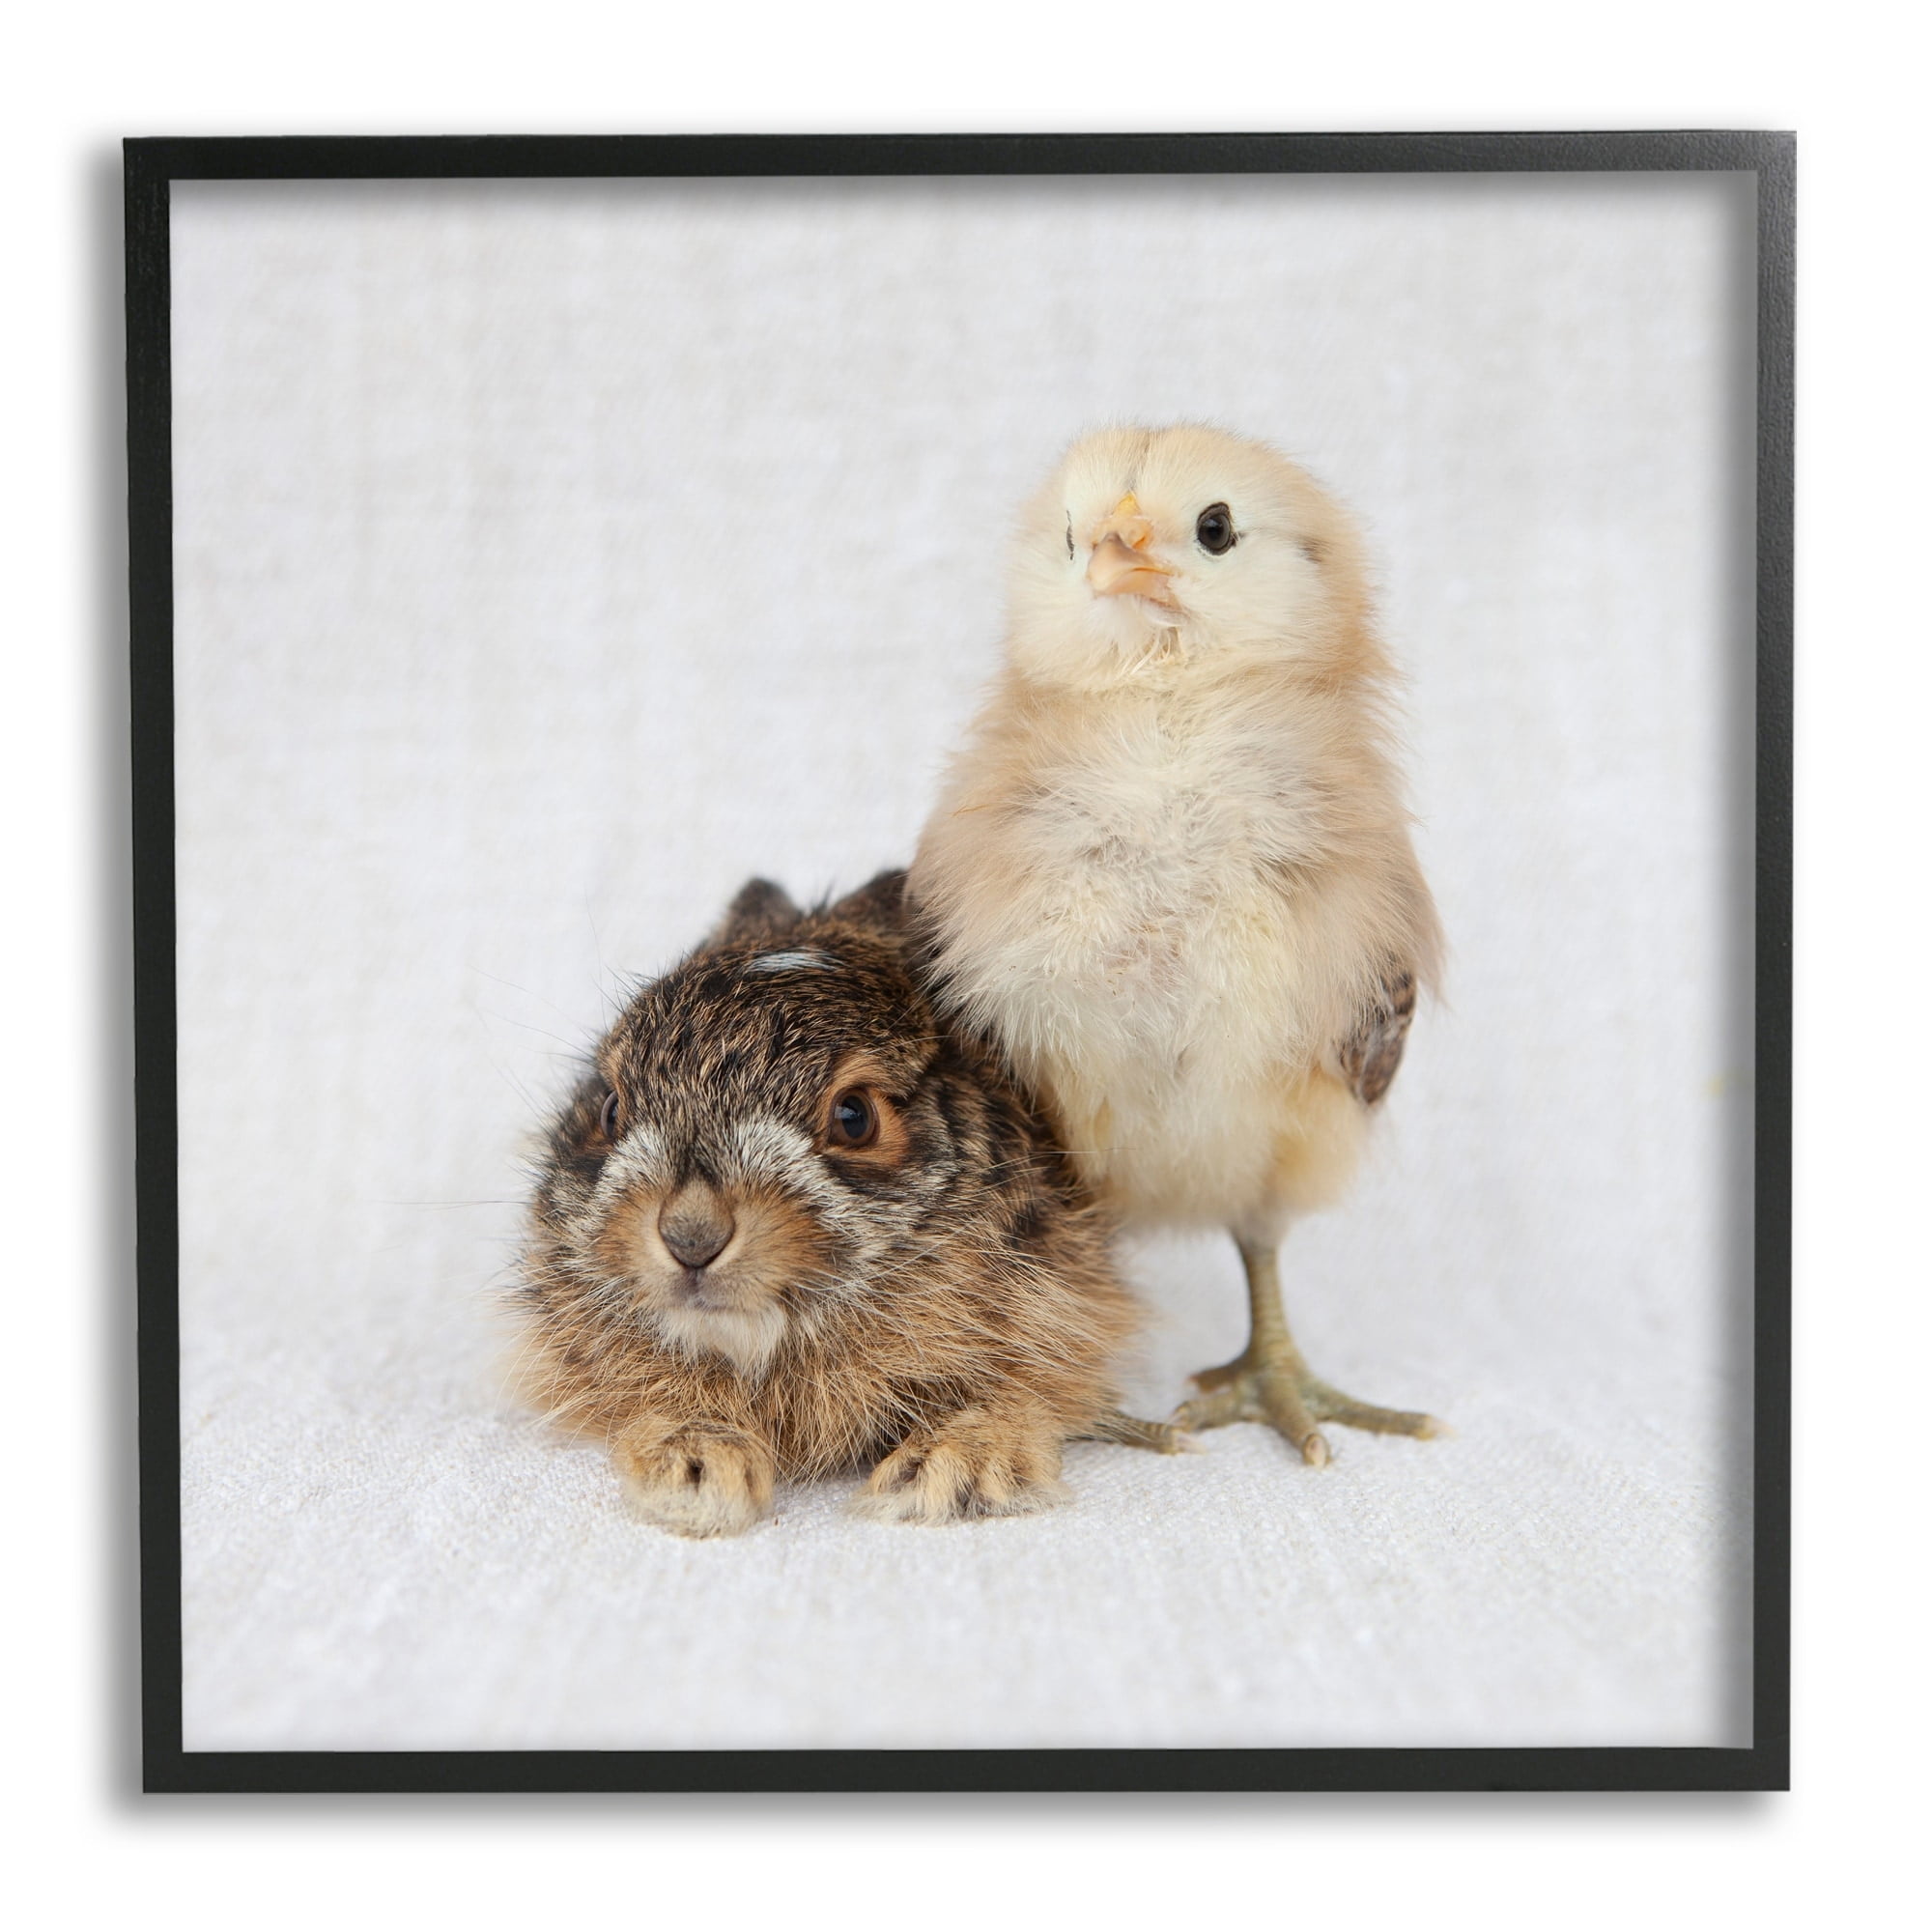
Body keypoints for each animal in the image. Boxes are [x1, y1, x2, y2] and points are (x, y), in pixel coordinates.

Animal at [513, 869, 1161, 1538]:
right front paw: (697, 1474)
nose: (691, 1237)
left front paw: (947, 1475)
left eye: (855, 1118)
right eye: (611, 1109)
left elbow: (1018, 1393)